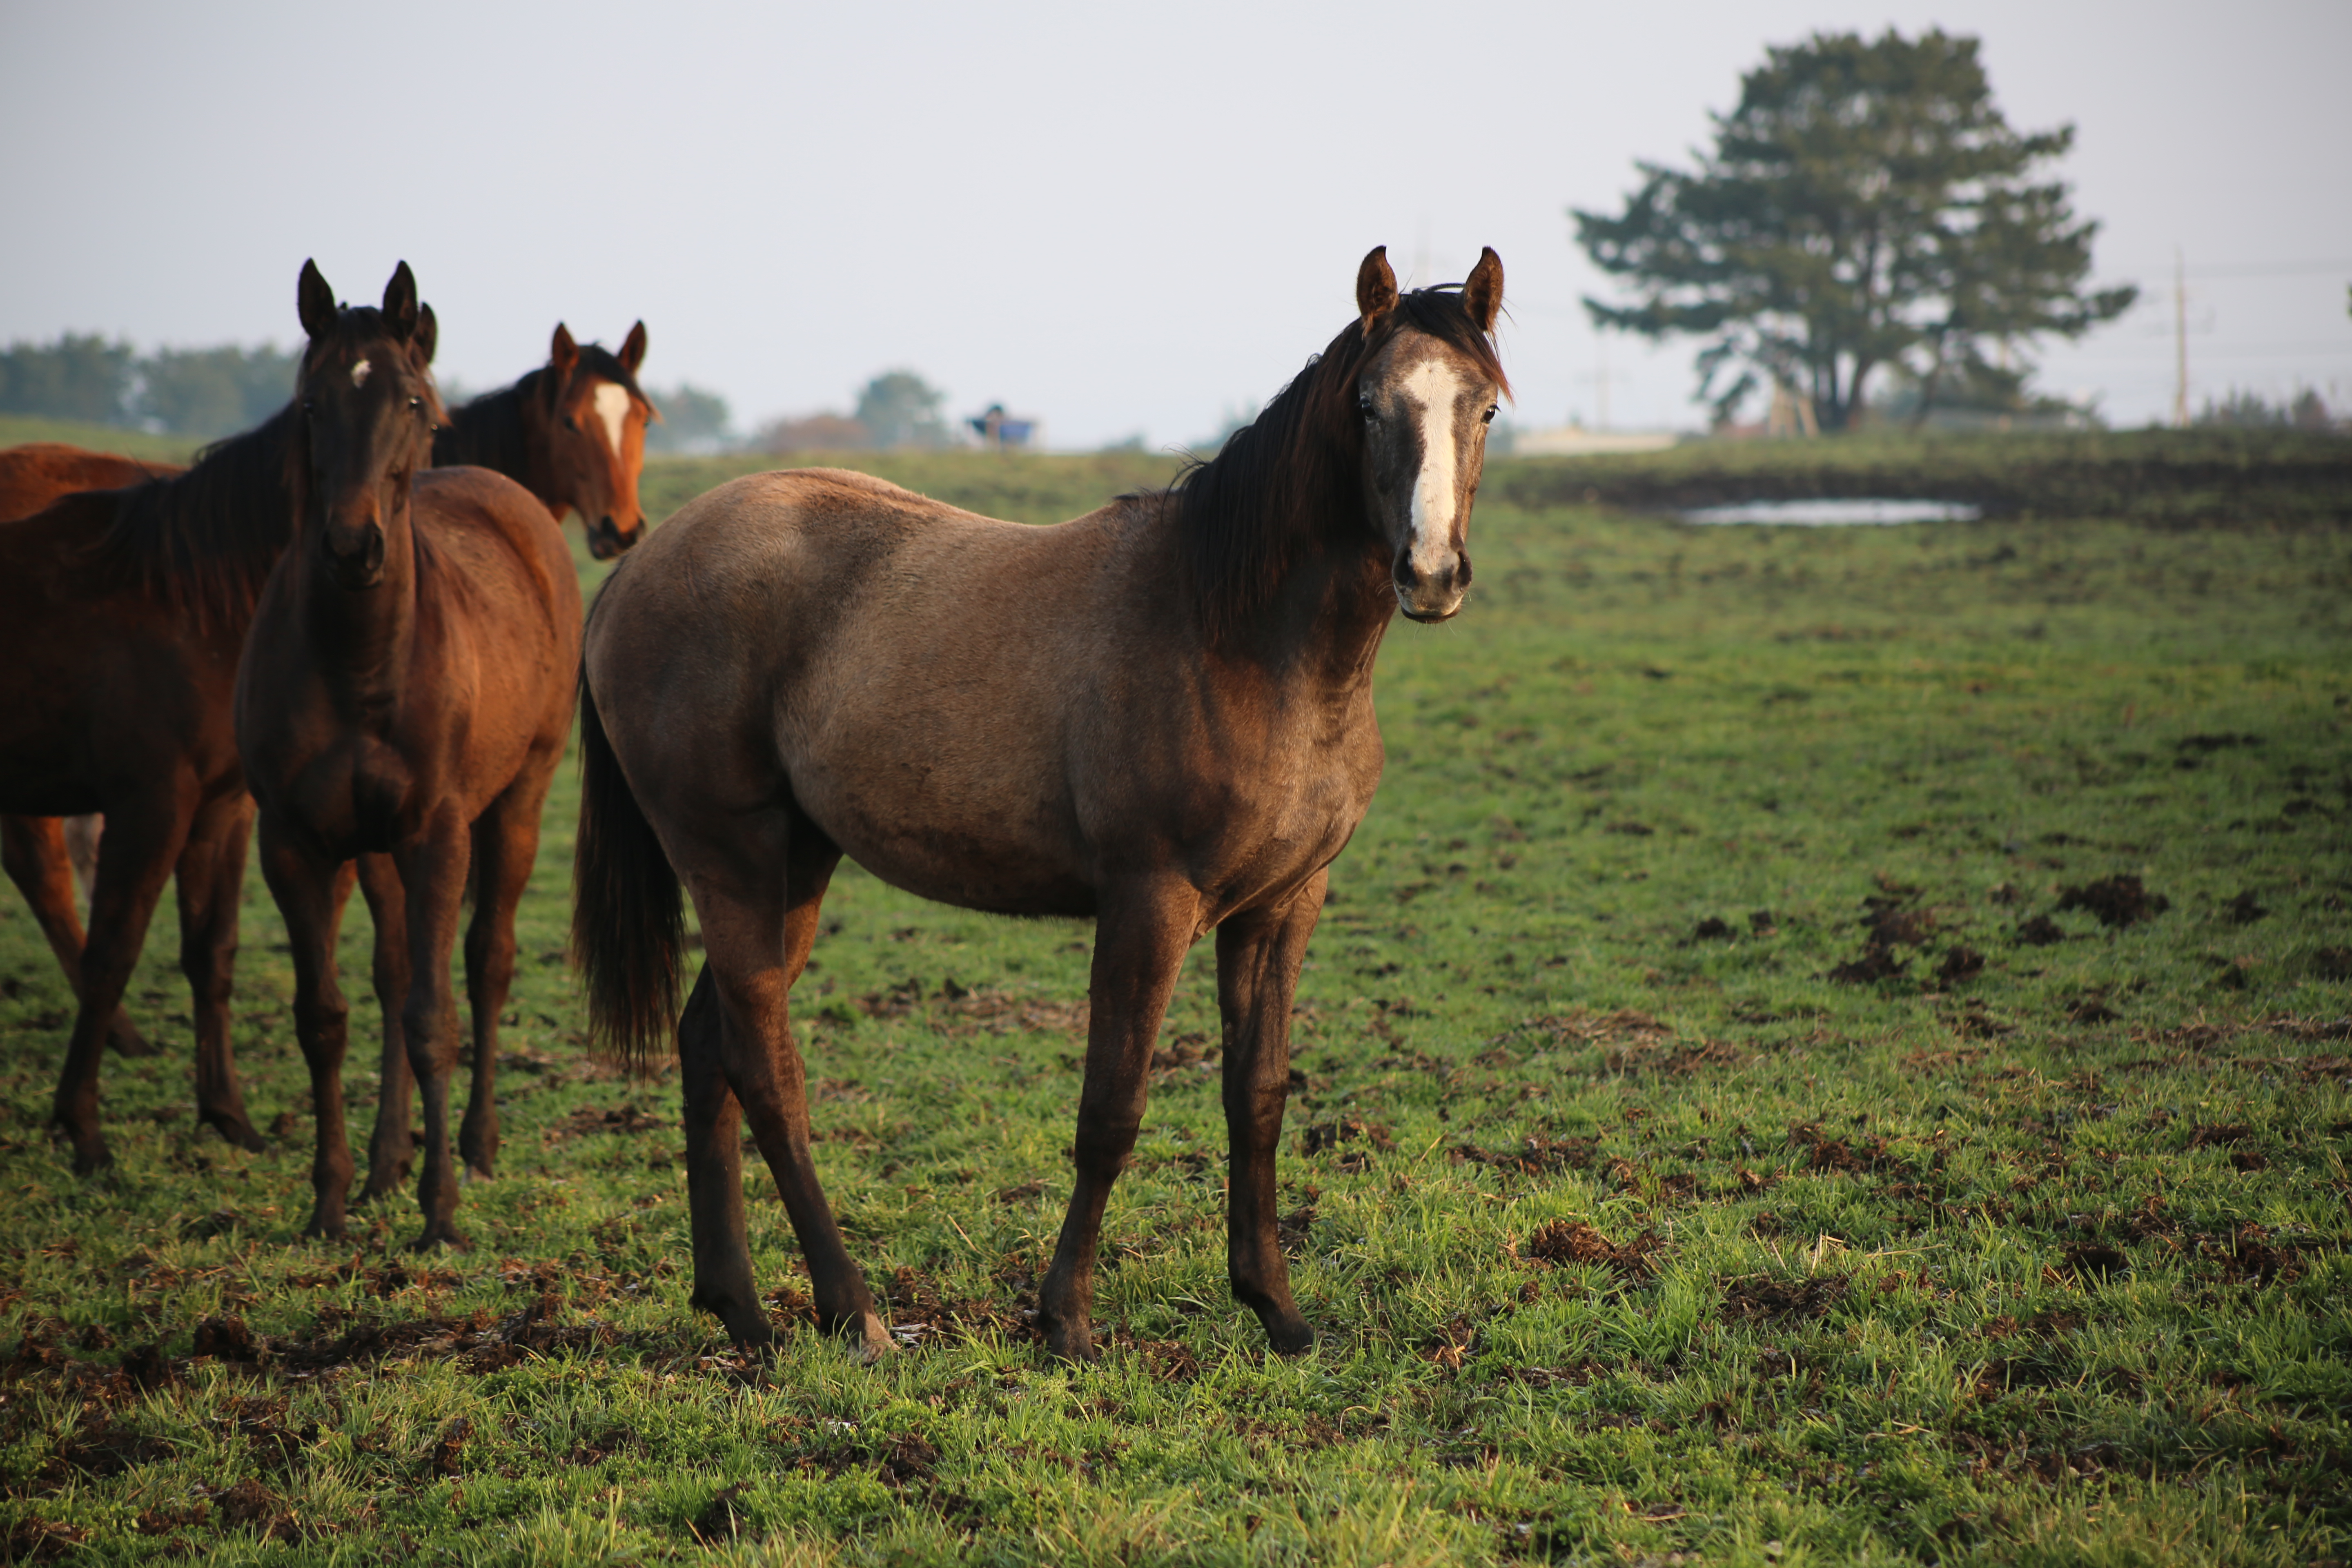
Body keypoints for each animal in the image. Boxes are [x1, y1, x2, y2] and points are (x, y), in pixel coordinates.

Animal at [0, 261, 437, 1166]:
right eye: (312, 405)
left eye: (413, 402)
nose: (353, 547)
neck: (192, 597)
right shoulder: (150, 801)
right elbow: (116, 949)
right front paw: (83, 1129)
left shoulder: (221, 806)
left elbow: (212, 953)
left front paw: (228, 1116)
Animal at [237, 263, 583, 1260]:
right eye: (311, 403)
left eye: (416, 405)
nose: (354, 545)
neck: (359, 659)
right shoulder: (295, 844)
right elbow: (326, 1018)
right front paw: (330, 1202)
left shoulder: (436, 834)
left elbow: (437, 1014)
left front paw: (441, 1215)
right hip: (377, 846)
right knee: (393, 973)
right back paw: (387, 1163)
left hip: (518, 802)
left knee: (485, 960)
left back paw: (475, 1147)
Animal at [578, 245, 1515, 1363]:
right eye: (1370, 407)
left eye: (1484, 407)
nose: (1431, 573)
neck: (1245, 641)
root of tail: (637, 564)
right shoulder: (1149, 902)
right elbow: (1110, 1109)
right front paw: (1064, 1317)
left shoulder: (1282, 905)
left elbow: (1257, 1097)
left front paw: (1276, 1309)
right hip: (732, 861)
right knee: (765, 1070)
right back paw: (853, 1311)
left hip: (794, 867)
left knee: (707, 1046)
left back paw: (743, 1311)